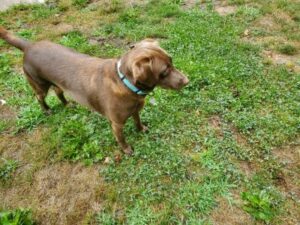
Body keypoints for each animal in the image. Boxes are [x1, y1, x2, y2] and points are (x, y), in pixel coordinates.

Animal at [0, 25, 189, 153]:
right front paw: (126, 150)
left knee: (59, 91)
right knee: (39, 97)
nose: (187, 81)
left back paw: (66, 104)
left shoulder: (135, 110)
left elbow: (137, 121)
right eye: (164, 72)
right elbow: (121, 139)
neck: (125, 83)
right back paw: (46, 110)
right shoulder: (116, 124)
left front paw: (141, 129)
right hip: (39, 84)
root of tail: (29, 45)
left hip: (56, 83)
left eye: (171, 60)